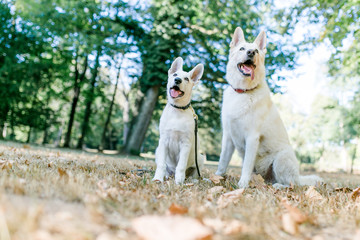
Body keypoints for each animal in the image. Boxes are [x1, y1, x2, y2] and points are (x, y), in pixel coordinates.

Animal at [215, 27, 322, 188]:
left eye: (256, 51)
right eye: (242, 49)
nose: (251, 53)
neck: (243, 92)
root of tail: (298, 177)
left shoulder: (252, 138)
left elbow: (246, 166)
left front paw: (242, 185)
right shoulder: (228, 137)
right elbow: (222, 162)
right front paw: (215, 178)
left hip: (281, 159)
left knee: (293, 184)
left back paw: (280, 186)